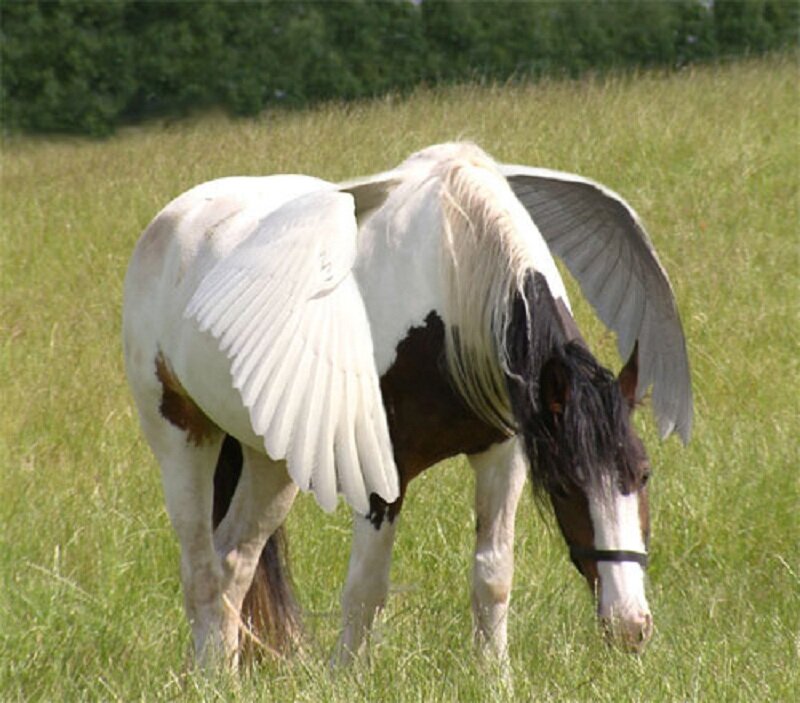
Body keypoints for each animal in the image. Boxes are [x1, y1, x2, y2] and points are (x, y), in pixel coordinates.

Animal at [122, 142, 692, 671]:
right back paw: (209, 678)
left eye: (642, 474)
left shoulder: (501, 456)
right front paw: (344, 681)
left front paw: (494, 678)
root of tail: (170, 221)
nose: (630, 625)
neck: (450, 285)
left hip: (271, 462)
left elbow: (492, 577)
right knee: (201, 571)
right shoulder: (382, 478)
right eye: (568, 487)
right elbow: (364, 591)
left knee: (234, 564)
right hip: (183, 443)